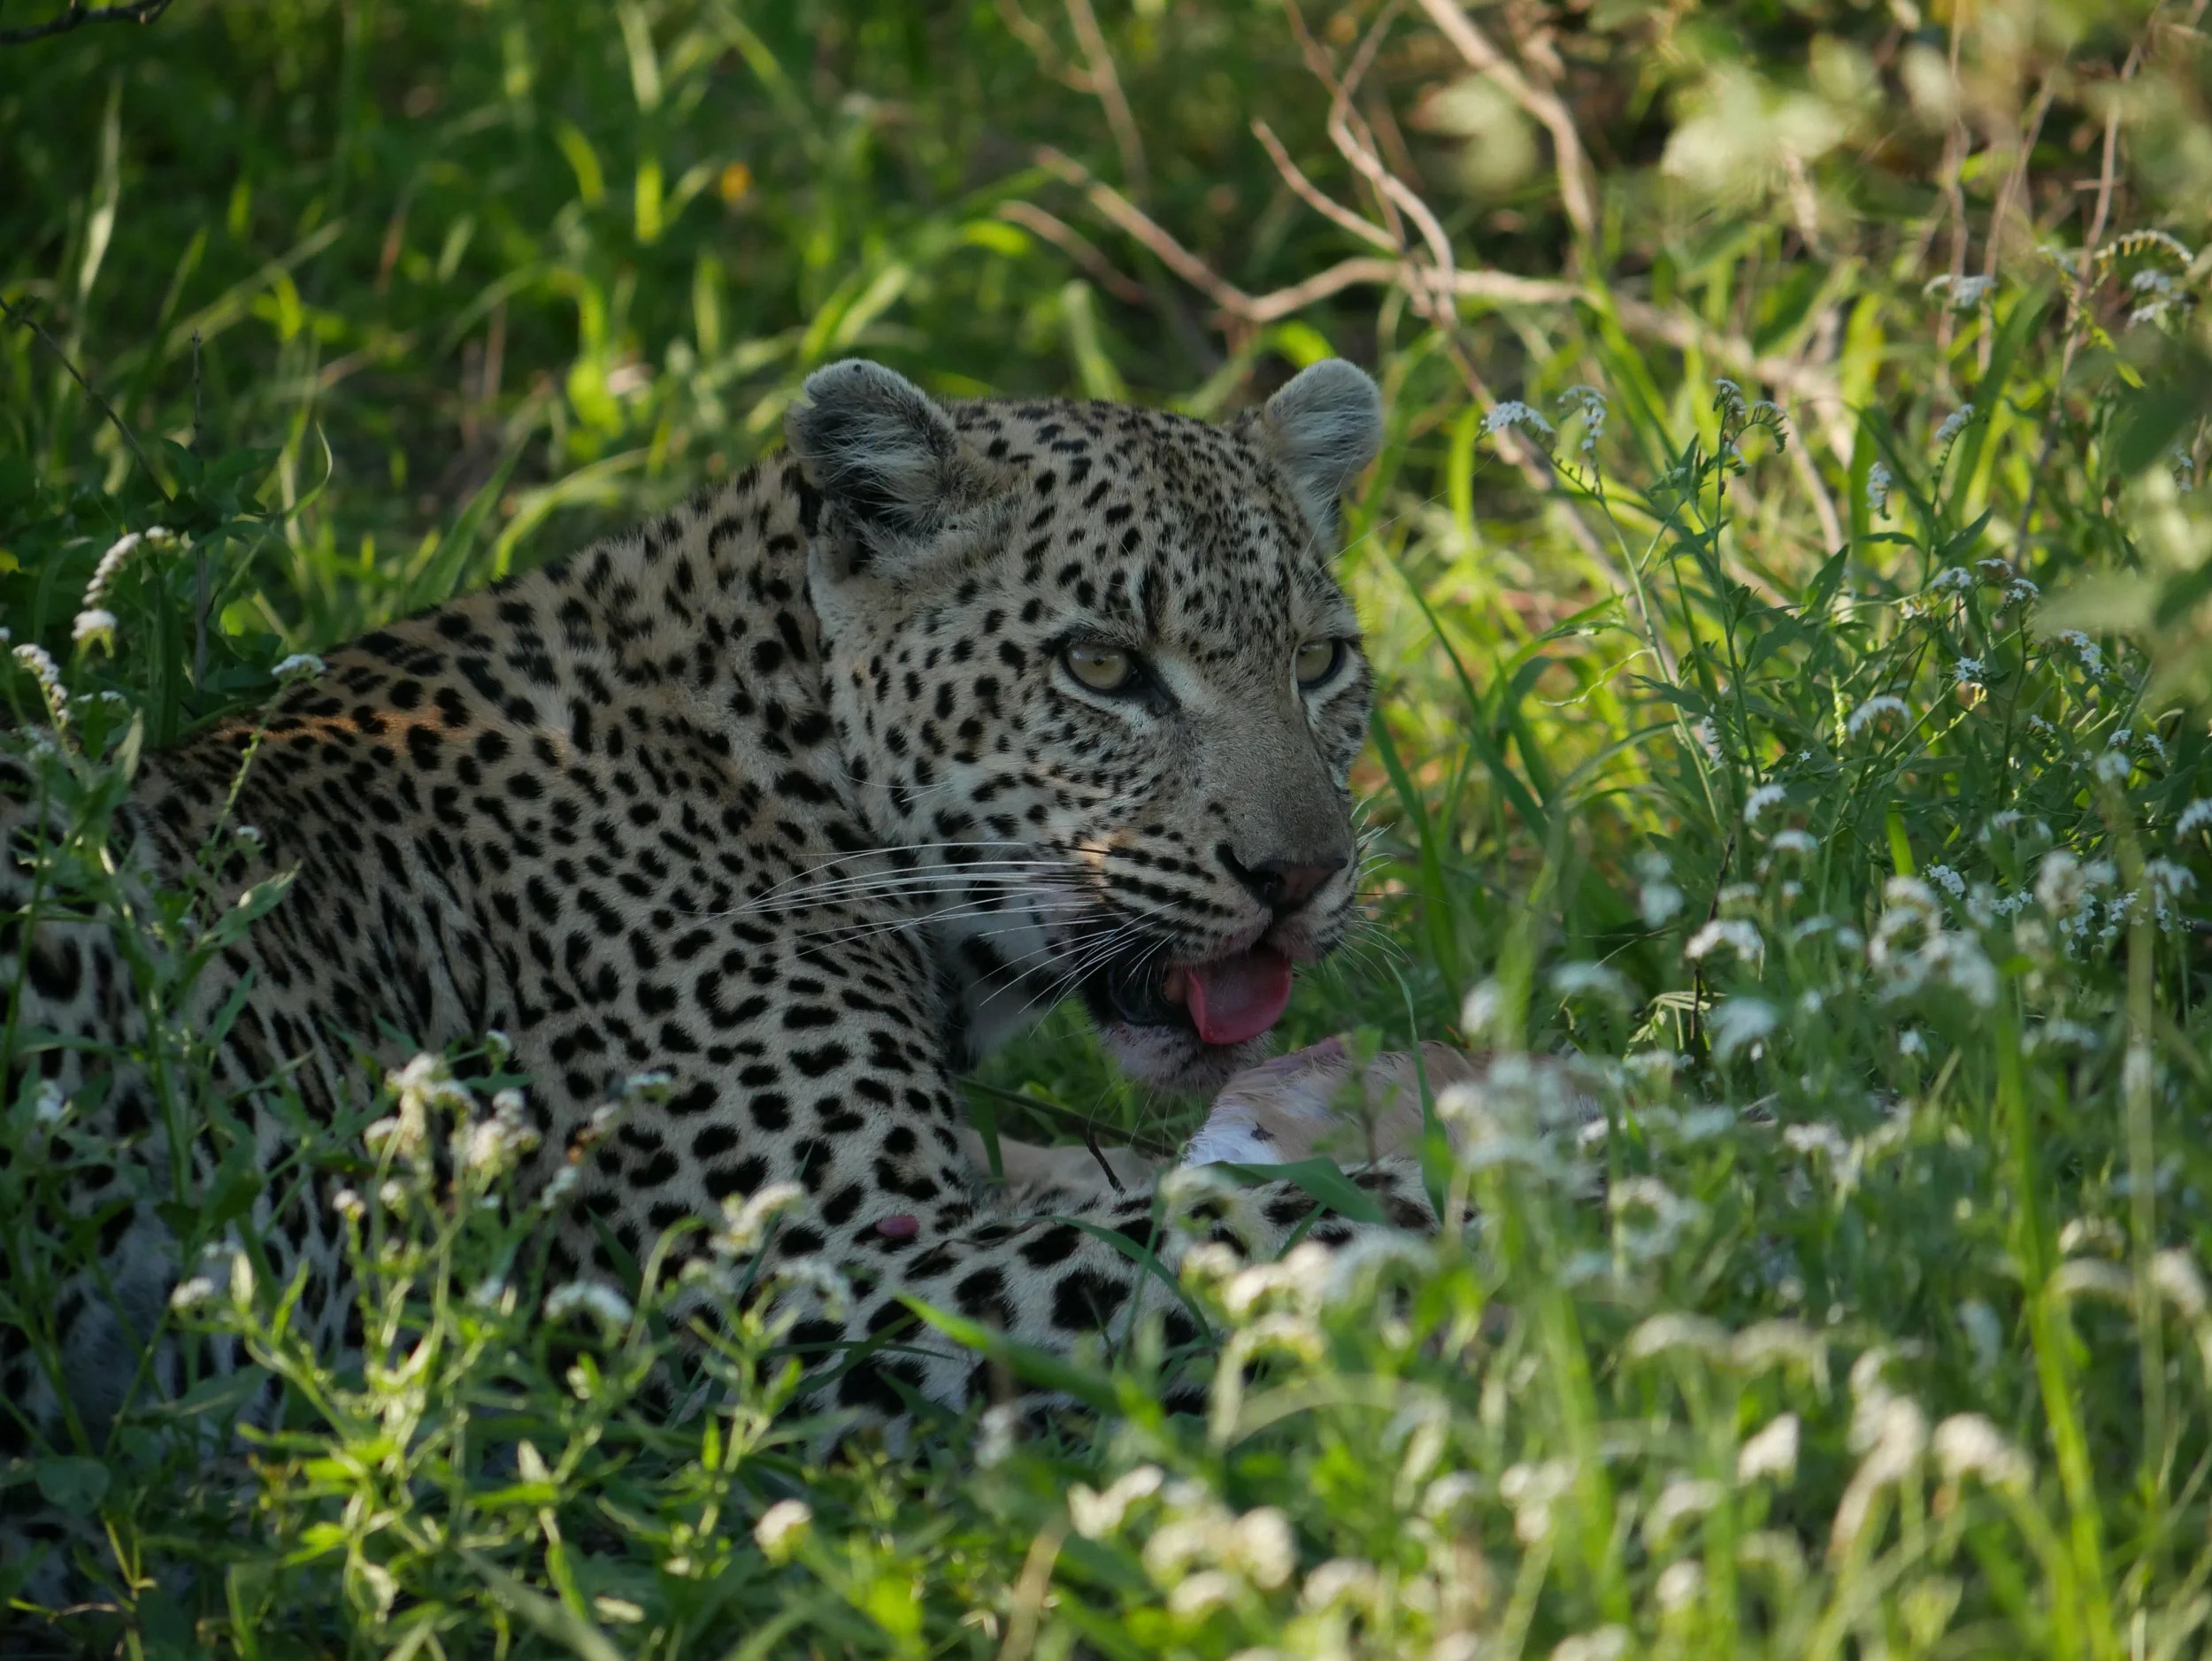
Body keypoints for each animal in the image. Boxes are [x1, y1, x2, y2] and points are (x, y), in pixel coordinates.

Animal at [0, 357, 1435, 1587]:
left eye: (1318, 662)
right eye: (1100, 666)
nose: (1303, 876)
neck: (768, 751)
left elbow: (1156, 1174)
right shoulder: (809, 1286)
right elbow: (1269, 1223)